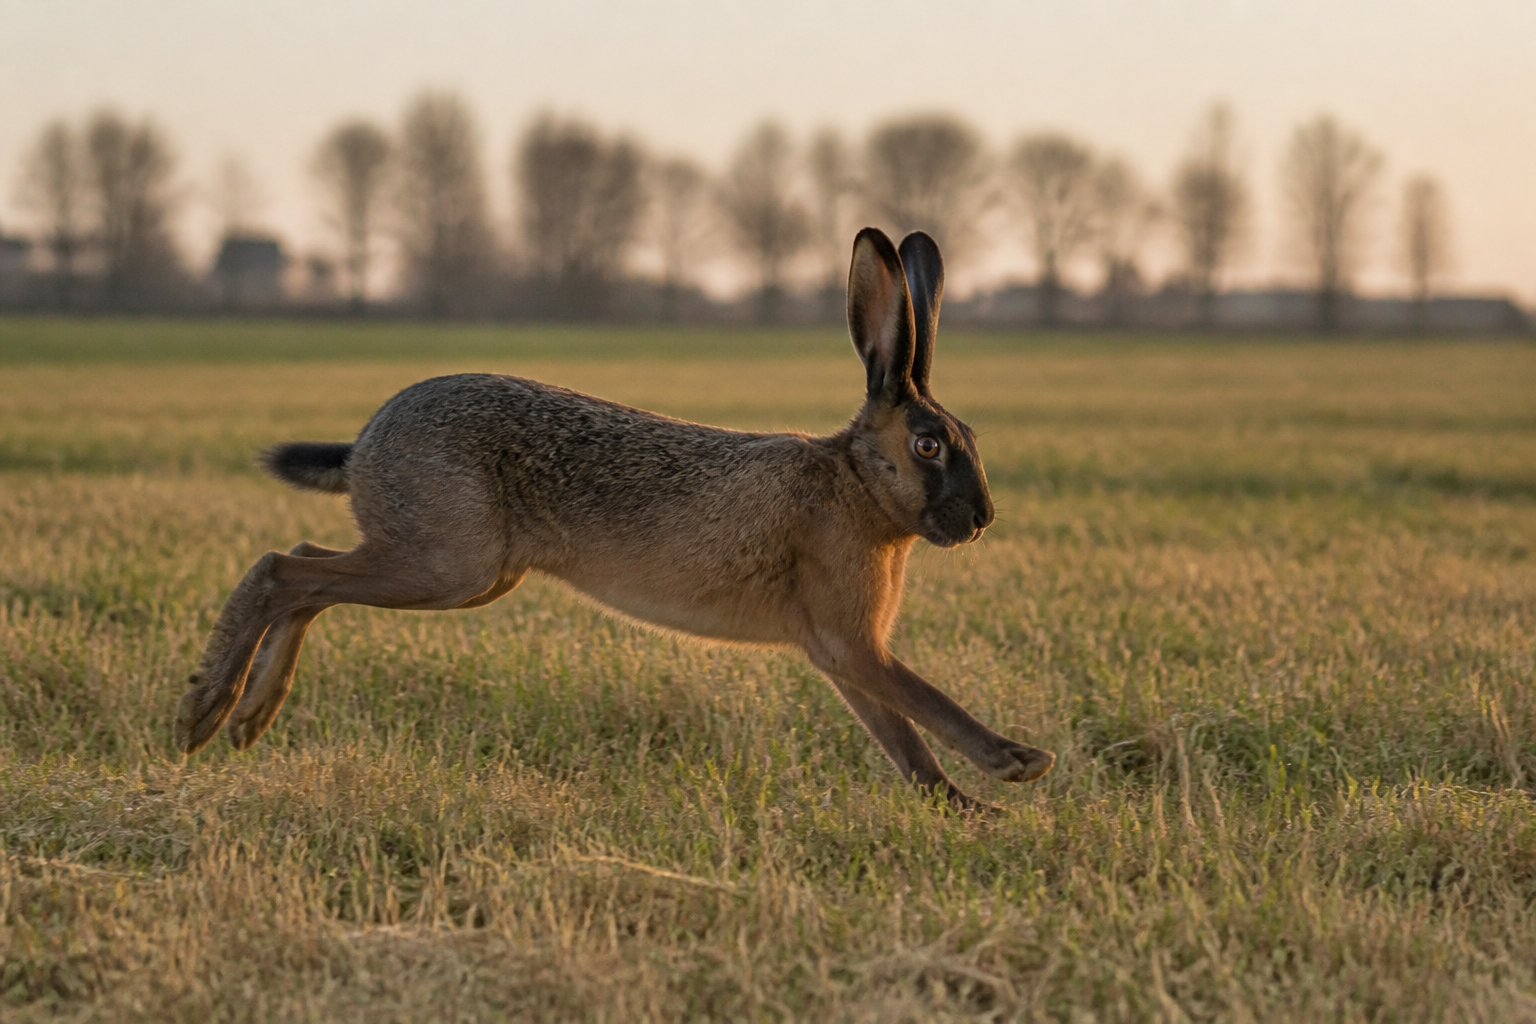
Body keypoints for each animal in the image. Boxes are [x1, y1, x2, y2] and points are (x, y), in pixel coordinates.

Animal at [173, 227, 1054, 809]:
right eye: (929, 444)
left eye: (969, 439)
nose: (982, 518)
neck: (856, 484)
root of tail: (365, 443)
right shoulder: (849, 640)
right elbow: (928, 702)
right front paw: (1018, 765)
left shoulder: (843, 656)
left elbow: (904, 743)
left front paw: (965, 809)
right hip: (445, 564)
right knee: (282, 569)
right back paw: (204, 713)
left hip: (462, 574)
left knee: (305, 571)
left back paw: (247, 719)